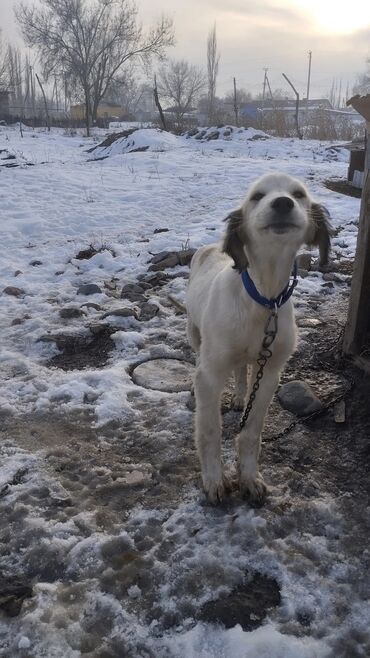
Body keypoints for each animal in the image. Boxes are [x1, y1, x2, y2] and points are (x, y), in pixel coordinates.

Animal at [186, 173, 330, 502]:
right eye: (257, 196)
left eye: (299, 194)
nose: (282, 203)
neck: (263, 299)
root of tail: (210, 248)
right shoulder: (211, 374)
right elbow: (209, 431)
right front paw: (214, 479)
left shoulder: (271, 372)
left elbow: (251, 432)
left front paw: (248, 476)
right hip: (194, 333)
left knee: (241, 370)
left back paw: (240, 397)